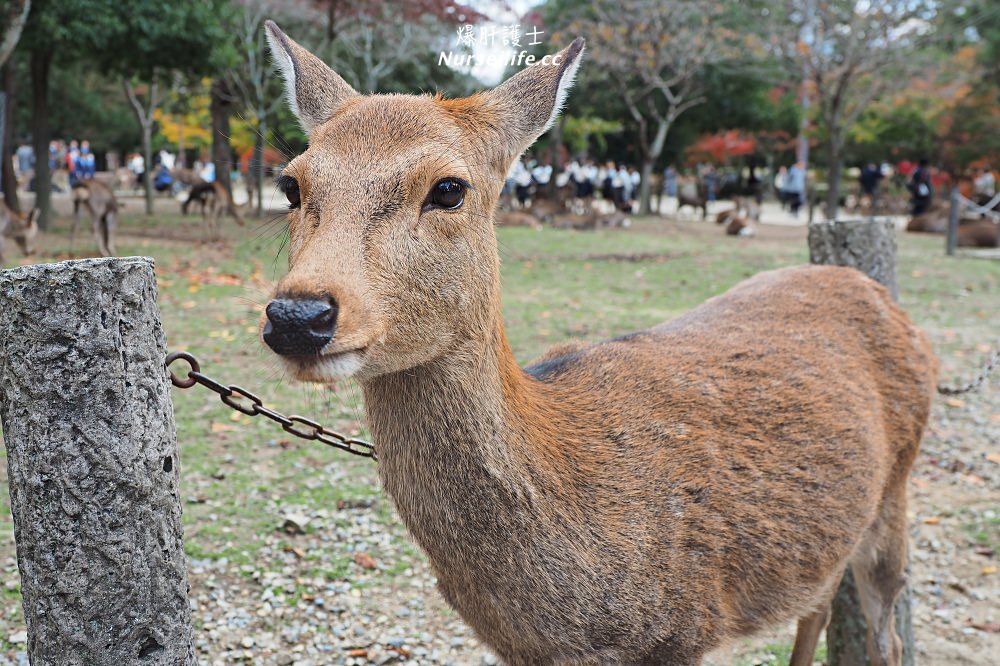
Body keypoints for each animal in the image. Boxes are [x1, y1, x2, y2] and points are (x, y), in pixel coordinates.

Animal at [258, 20, 936, 664]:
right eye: (292, 185)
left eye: (449, 188)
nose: (298, 314)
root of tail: (884, 296)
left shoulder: (683, 627)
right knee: (817, 601)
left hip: (898, 485)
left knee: (888, 634)